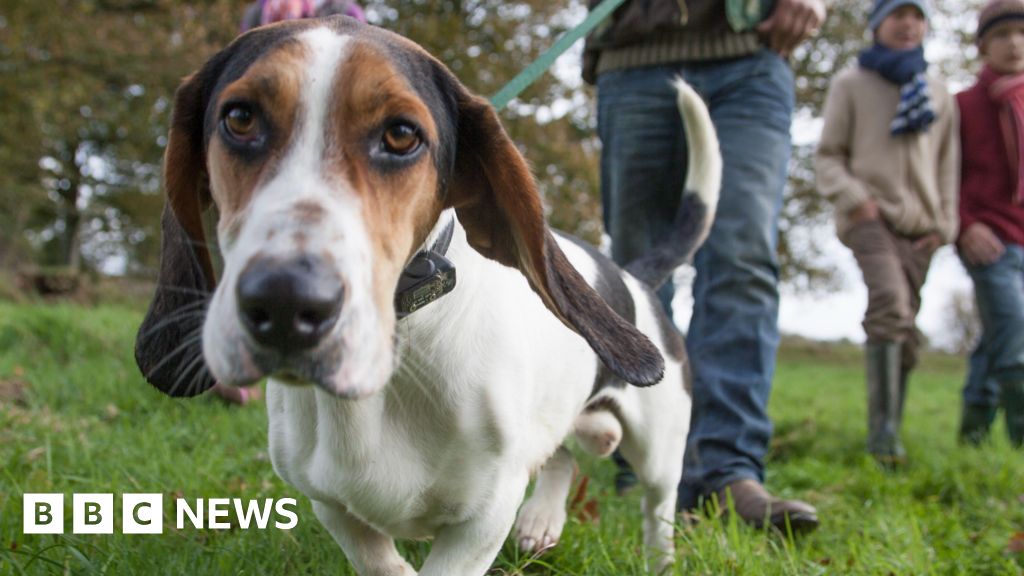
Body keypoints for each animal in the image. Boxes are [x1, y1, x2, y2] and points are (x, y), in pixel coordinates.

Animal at [136, 14, 720, 573]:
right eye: (240, 119)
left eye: (401, 135)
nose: (284, 302)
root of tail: (631, 275)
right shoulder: (329, 501)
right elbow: (379, 559)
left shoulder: (483, 518)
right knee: (562, 457)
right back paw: (542, 520)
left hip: (659, 452)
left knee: (656, 510)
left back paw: (657, 561)